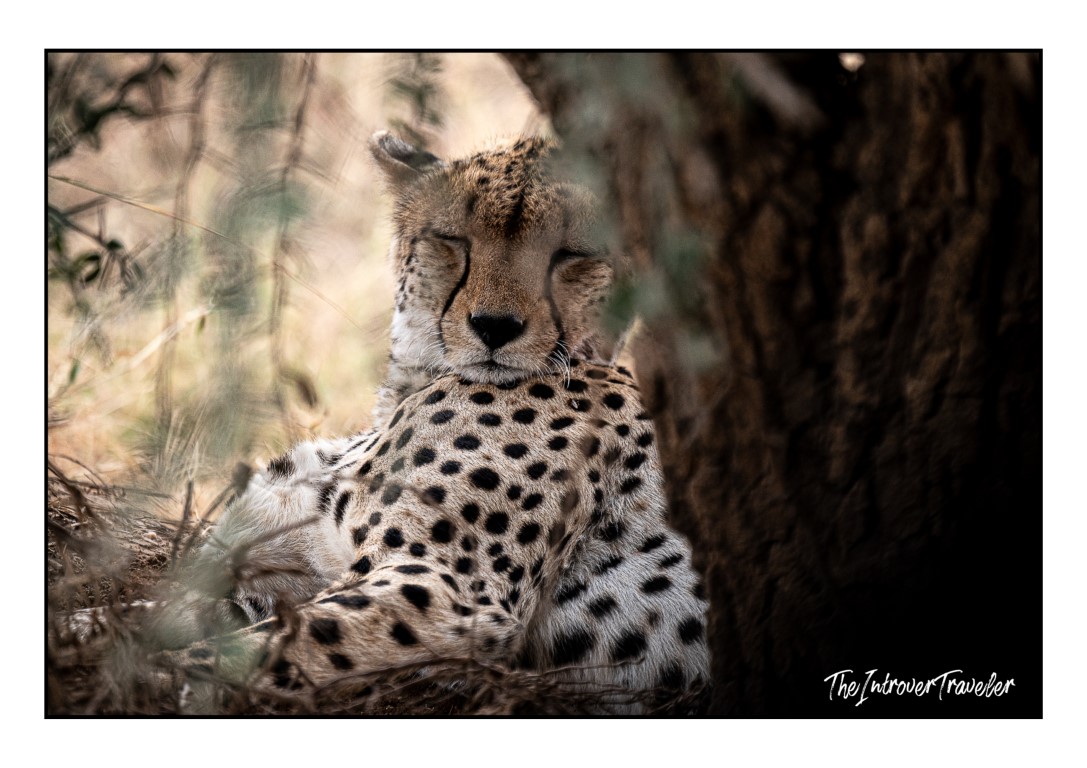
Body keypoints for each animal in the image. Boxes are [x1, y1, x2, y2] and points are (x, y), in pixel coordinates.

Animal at [171, 131, 710, 714]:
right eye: (453, 239)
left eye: (570, 254)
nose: (495, 326)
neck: (410, 387)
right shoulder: (266, 567)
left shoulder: (449, 592)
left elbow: (253, 649)